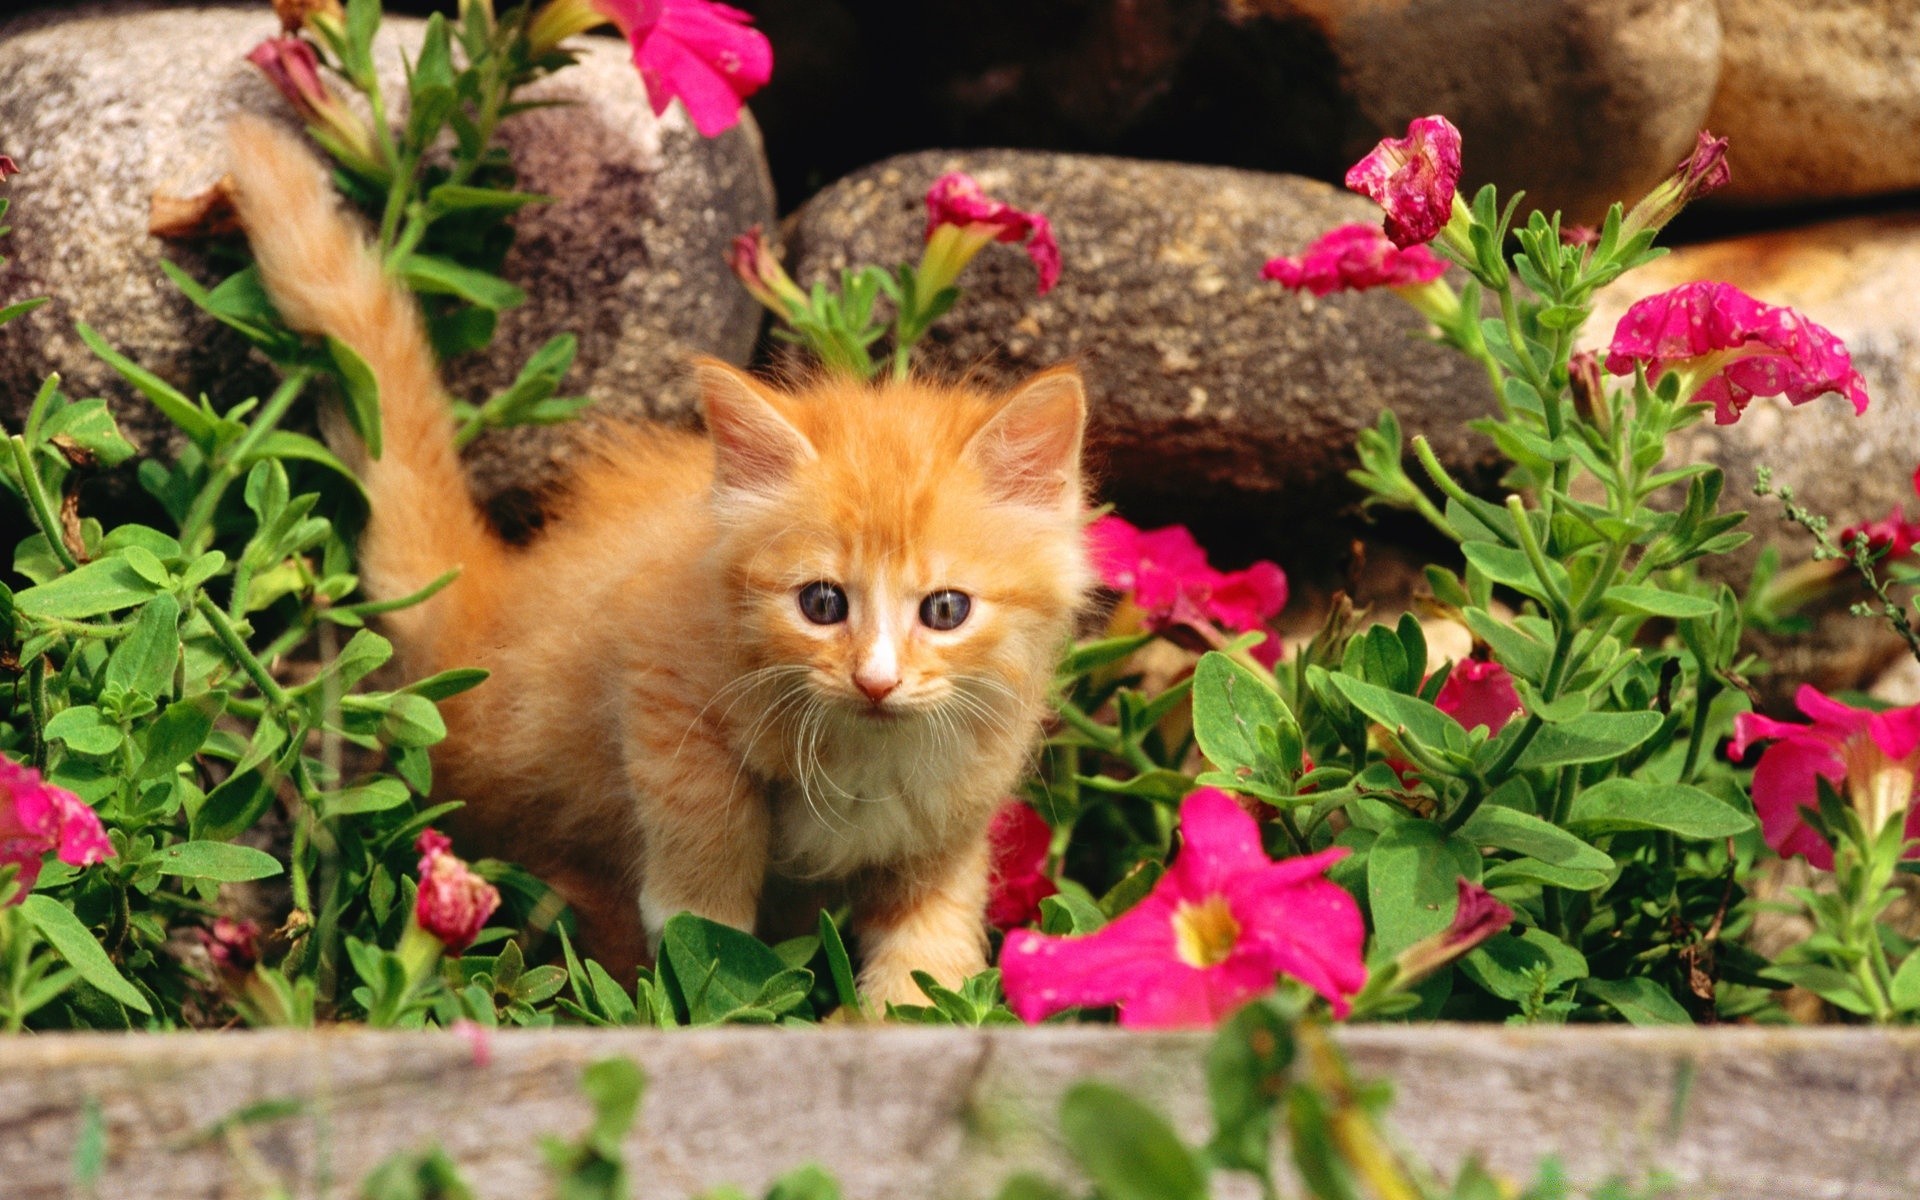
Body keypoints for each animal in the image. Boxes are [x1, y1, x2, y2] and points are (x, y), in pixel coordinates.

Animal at [220, 119, 1098, 998]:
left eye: (946, 610)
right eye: (821, 604)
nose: (875, 681)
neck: (866, 750)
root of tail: (485, 612)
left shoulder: (957, 806)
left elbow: (930, 941)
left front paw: (913, 998)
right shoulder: (657, 664)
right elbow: (702, 798)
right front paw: (699, 922)